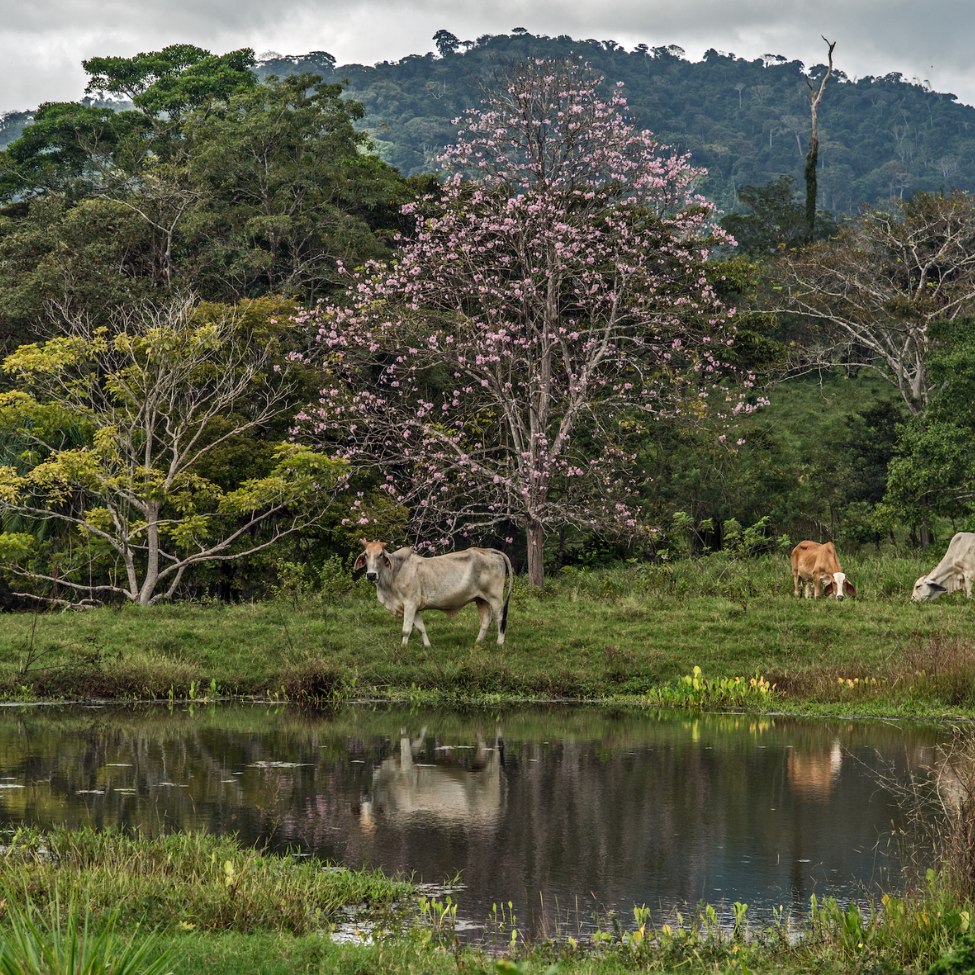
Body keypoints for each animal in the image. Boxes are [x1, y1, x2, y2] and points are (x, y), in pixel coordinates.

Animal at [354, 540, 516, 648]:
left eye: (381, 554)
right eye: (366, 555)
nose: (371, 575)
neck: (395, 572)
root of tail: (490, 551)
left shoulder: (410, 603)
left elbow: (406, 630)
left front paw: (403, 647)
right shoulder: (413, 607)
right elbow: (420, 628)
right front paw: (427, 645)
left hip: (495, 597)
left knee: (500, 618)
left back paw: (499, 642)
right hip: (481, 599)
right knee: (486, 621)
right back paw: (478, 642)